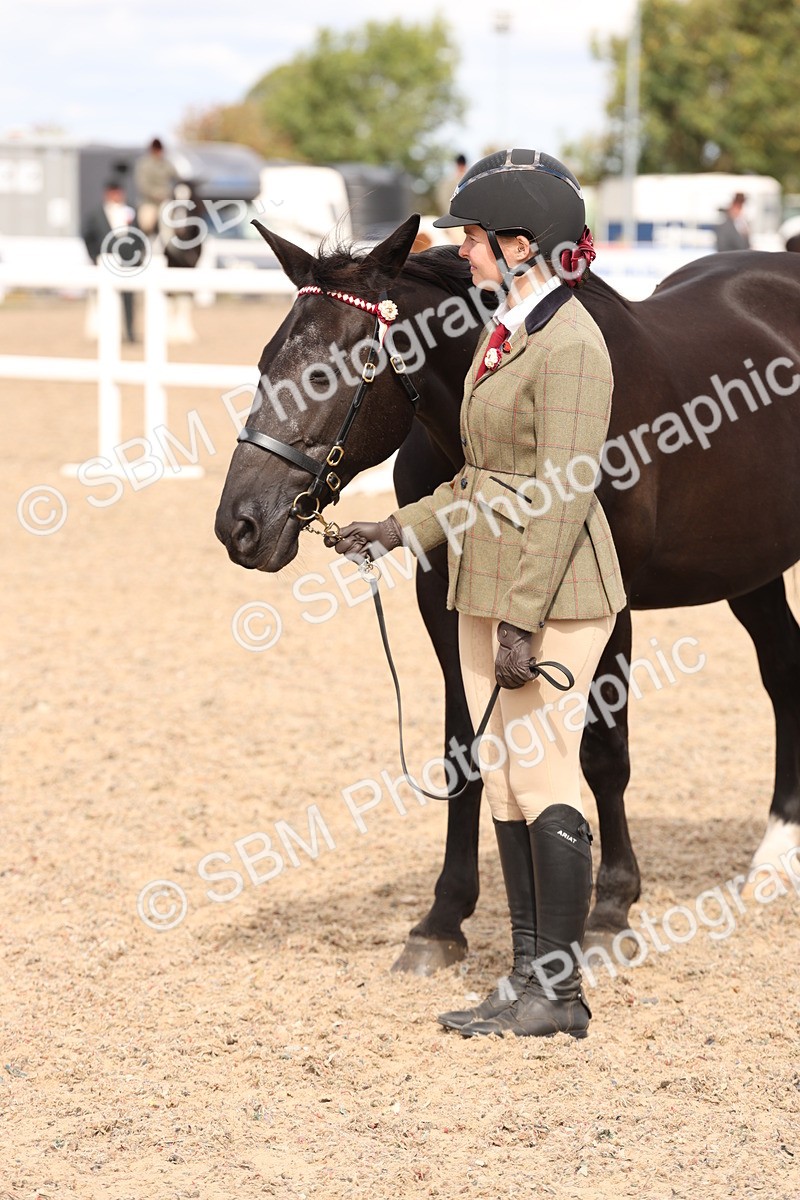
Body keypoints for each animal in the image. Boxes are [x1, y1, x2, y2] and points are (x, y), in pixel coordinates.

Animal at [215, 214, 800, 975]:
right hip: (749, 567)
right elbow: (465, 751)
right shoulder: (445, 602)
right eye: (263, 362)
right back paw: (777, 851)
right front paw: (442, 919)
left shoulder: (603, 601)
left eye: (322, 373)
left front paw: (612, 906)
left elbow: (603, 754)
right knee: (784, 671)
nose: (240, 525)